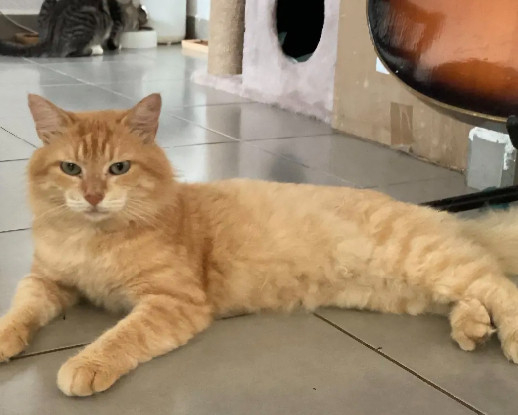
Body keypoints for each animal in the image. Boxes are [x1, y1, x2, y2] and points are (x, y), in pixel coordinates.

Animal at [1, 93, 518, 397]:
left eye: (119, 169)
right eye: (71, 169)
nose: (92, 197)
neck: (93, 240)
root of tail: (440, 214)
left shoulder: (173, 302)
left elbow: (120, 336)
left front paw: (85, 364)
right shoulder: (47, 281)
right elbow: (20, 311)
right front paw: (6, 339)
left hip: (430, 262)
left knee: (499, 287)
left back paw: (508, 340)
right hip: (413, 291)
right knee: (472, 296)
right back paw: (472, 329)